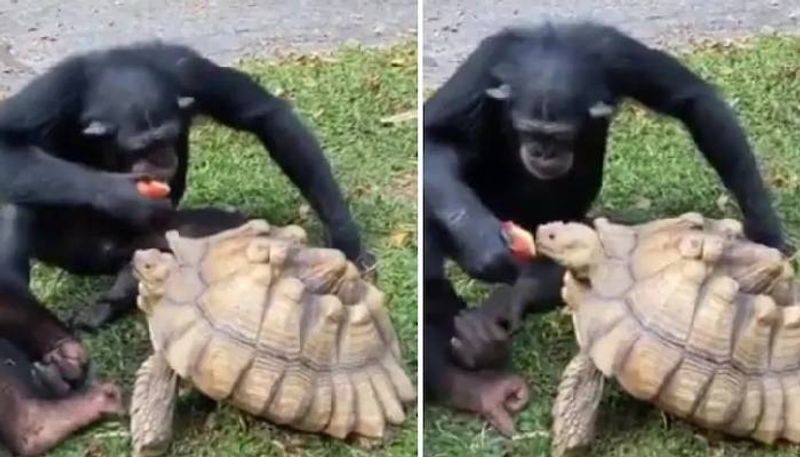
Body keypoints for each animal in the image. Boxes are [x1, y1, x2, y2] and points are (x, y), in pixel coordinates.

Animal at [0, 41, 374, 392]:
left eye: (166, 137)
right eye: (140, 147)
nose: (162, 157)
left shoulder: (189, 70)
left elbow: (265, 113)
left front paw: (343, 234)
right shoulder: (50, 95)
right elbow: (6, 145)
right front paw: (124, 196)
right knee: (13, 207)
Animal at [422, 22, 792, 434]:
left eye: (559, 136)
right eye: (528, 131)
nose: (542, 152)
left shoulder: (617, 53)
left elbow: (693, 100)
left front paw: (765, 227)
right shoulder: (484, 66)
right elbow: (434, 137)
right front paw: (482, 241)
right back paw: (471, 382)